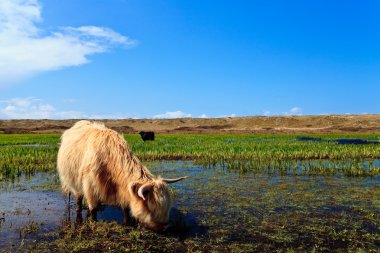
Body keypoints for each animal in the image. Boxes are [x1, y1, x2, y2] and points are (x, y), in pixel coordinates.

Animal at [57, 120, 186, 231]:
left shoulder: (121, 189)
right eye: (151, 207)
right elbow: (93, 209)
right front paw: (93, 222)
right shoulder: (90, 186)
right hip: (73, 182)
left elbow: (124, 207)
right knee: (79, 198)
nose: (165, 227)